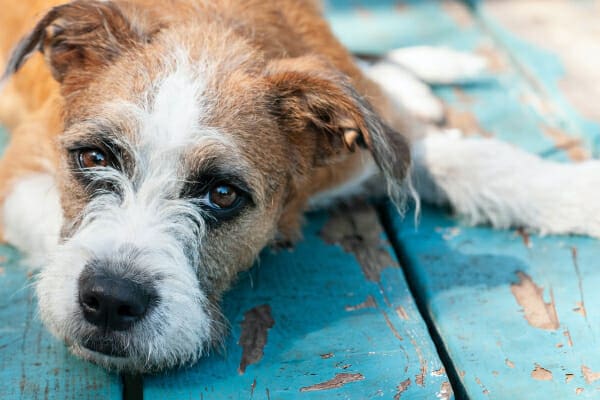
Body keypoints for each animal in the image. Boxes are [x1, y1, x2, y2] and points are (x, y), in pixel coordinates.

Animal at [1, 0, 600, 376]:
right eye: (94, 158)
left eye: (223, 194)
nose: (109, 300)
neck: (212, 30)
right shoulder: (19, 171)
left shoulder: (374, 144)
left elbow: (481, 161)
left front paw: (576, 192)